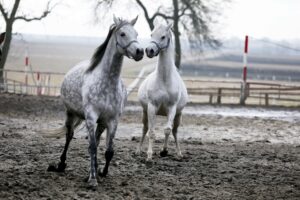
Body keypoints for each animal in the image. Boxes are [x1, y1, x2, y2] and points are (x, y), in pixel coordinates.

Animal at [47, 16, 144, 188]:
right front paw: (92, 179)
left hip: (102, 123)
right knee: (69, 136)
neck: (107, 83)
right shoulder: (91, 118)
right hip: (71, 113)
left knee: (97, 142)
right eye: (123, 33)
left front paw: (101, 172)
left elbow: (109, 150)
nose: (140, 51)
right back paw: (62, 164)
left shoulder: (112, 120)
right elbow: (92, 147)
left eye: (136, 33)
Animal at [137, 23, 189, 161]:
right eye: (151, 34)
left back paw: (179, 153)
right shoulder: (151, 107)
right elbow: (151, 132)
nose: (149, 50)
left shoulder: (172, 108)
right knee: (145, 129)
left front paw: (164, 151)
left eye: (163, 36)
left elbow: (167, 130)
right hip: (145, 113)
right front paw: (149, 156)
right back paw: (138, 150)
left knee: (175, 132)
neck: (164, 80)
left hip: (178, 116)